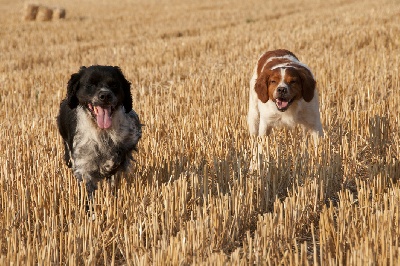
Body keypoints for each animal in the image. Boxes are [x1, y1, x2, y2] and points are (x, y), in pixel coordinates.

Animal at [57, 65, 142, 196]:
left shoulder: (132, 137)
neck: (103, 132)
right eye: (90, 84)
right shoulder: (83, 164)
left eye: (114, 84)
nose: (105, 95)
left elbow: (119, 156)